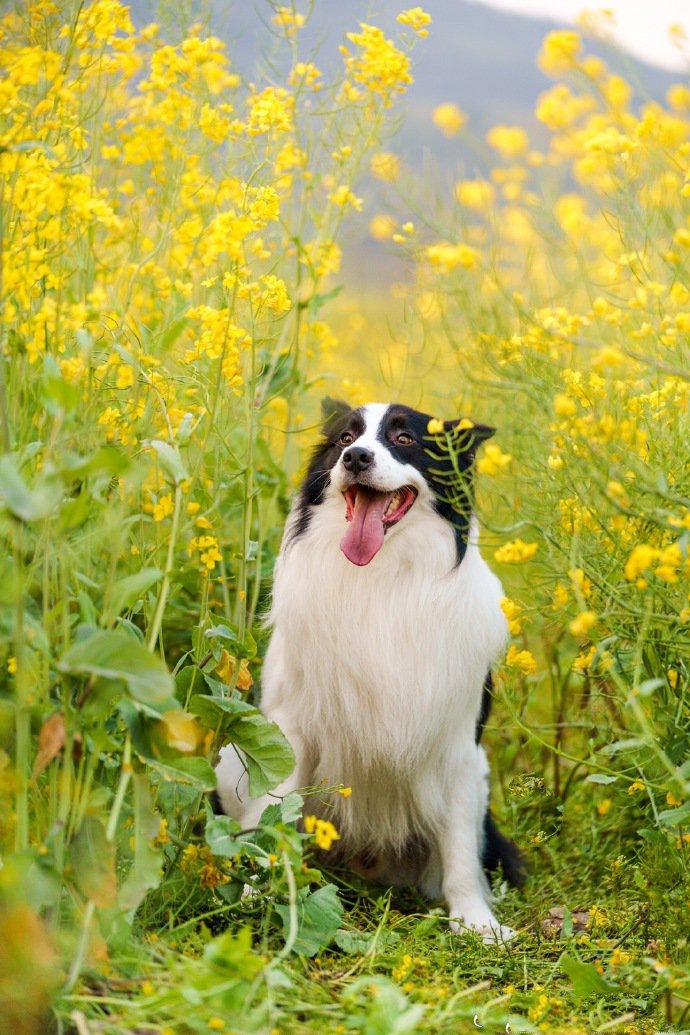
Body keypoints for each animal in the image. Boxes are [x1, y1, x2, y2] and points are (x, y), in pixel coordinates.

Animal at [218, 399, 525, 943]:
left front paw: (476, 922)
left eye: (404, 439)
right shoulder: (291, 730)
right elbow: (272, 811)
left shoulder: (460, 749)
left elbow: (461, 850)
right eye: (345, 438)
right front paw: (255, 891)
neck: (382, 576)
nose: (357, 458)